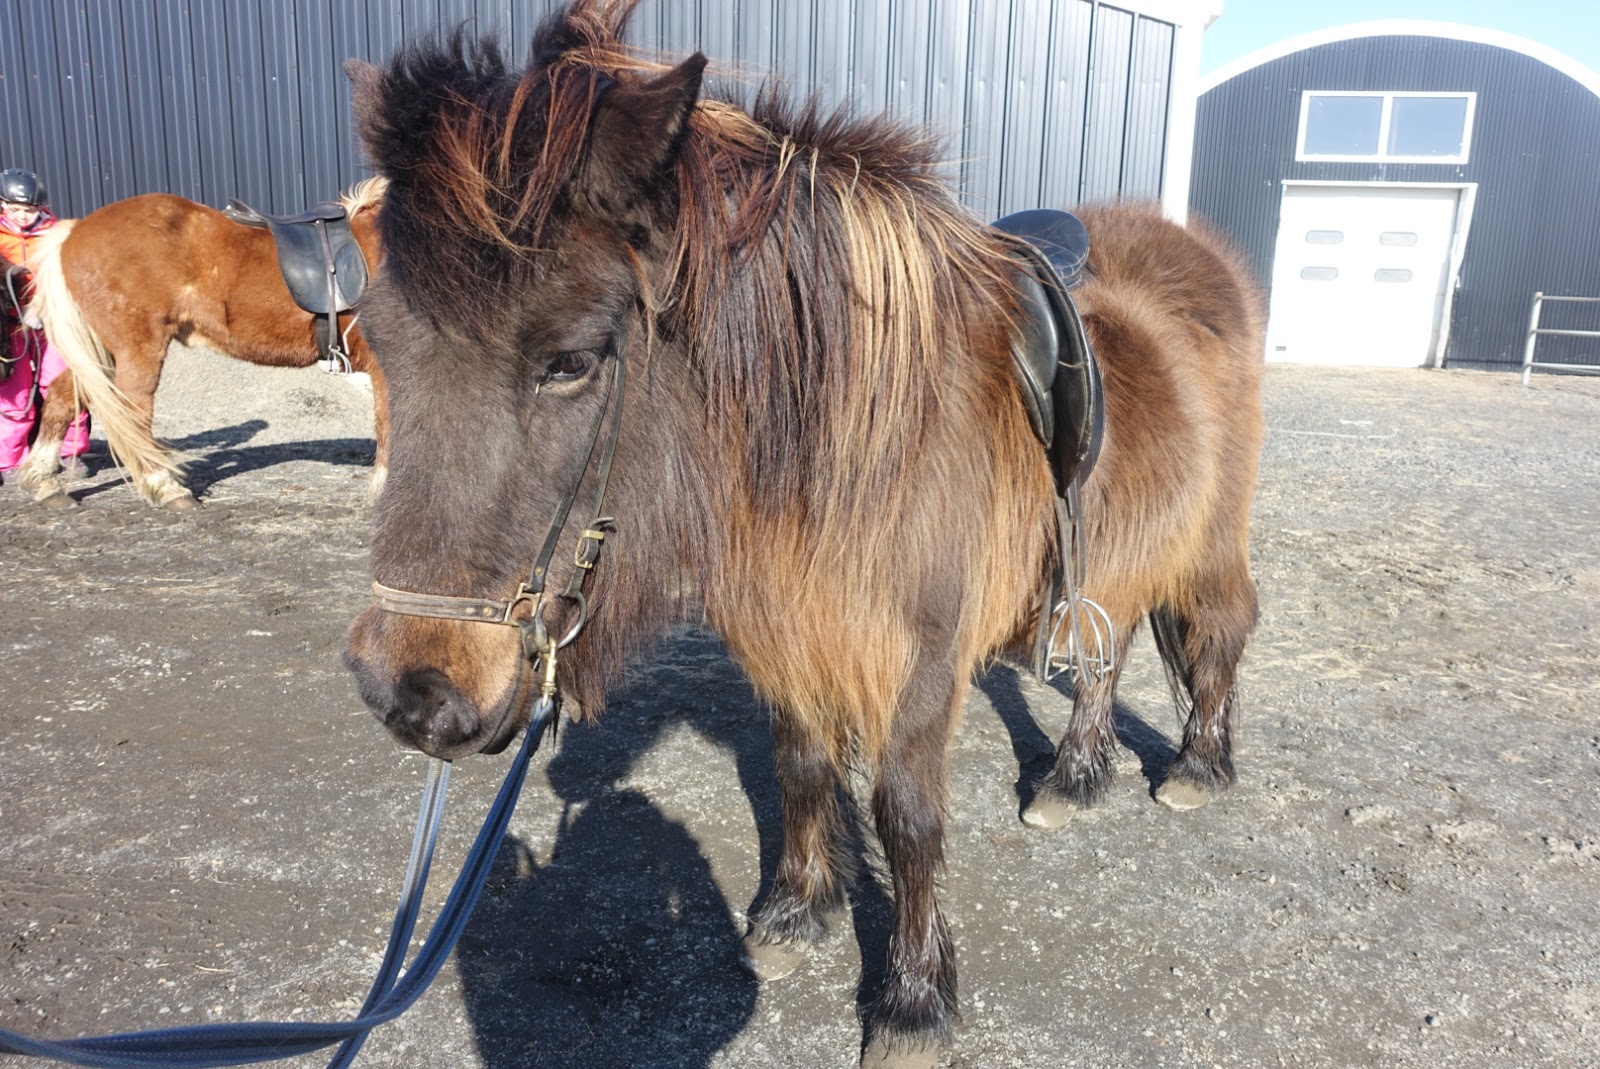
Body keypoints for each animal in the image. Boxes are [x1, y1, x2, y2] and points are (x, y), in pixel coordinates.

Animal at [18, 179, 389, 509]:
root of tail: (74, 231)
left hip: (102, 351)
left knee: (62, 398)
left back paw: (45, 483)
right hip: (136, 348)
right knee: (133, 411)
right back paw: (166, 489)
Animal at [340, 3, 1264, 1066]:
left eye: (569, 361)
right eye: (375, 338)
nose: (407, 691)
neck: (846, 434)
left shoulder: (920, 661)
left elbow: (906, 814)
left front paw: (913, 1000)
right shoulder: (788, 630)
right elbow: (802, 765)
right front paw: (794, 913)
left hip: (1211, 540)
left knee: (1222, 633)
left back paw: (1196, 766)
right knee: (1104, 664)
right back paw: (1074, 779)